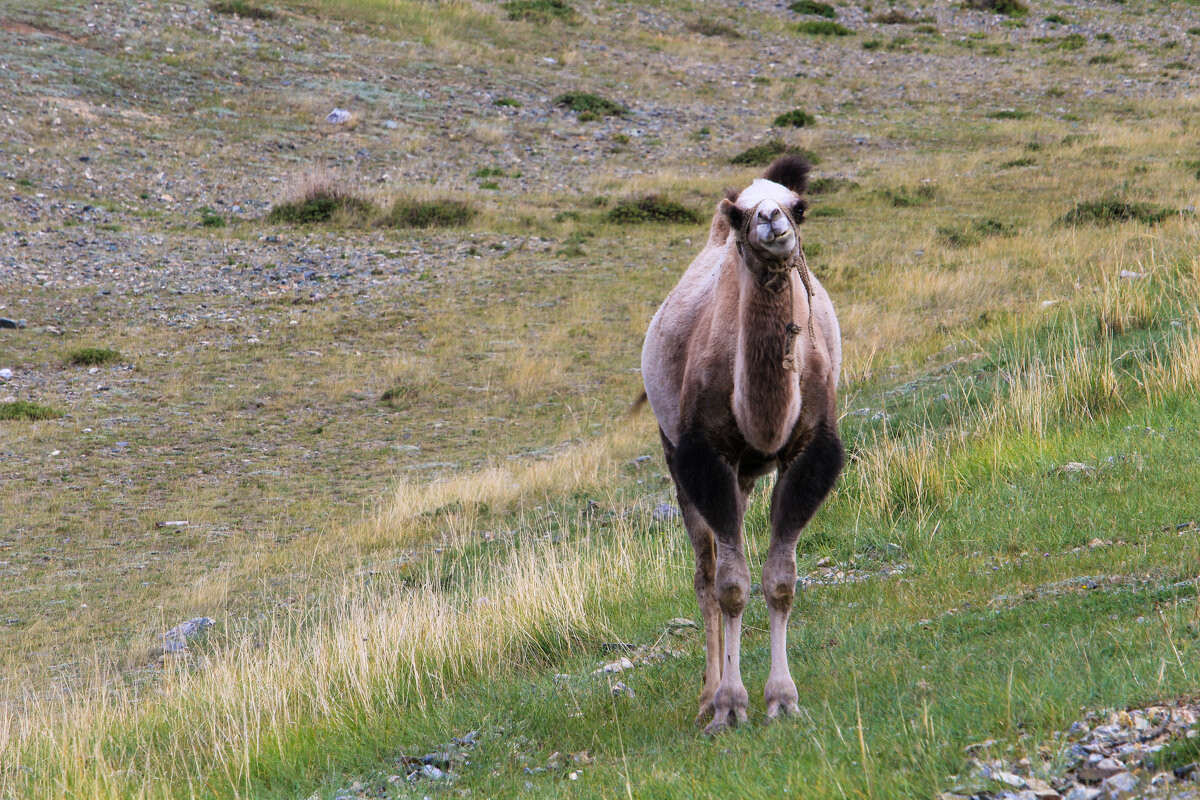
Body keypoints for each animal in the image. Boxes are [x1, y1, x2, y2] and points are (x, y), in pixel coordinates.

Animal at [638, 153, 844, 734]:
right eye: (738, 215)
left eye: (799, 205)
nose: (771, 219)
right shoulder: (703, 455)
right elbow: (730, 585)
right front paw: (730, 705)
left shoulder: (809, 451)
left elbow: (780, 580)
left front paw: (782, 699)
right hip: (676, 454)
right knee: (705, 575)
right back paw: (707, 697)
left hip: (748, 474)